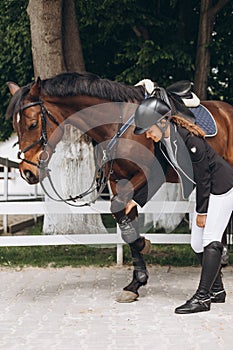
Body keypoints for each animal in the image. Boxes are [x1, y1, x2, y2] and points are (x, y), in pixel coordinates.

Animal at [5, 72, 233, 302]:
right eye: (15, 127)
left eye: (33, 124)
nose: (27, 172)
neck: (120, 126)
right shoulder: (117, 182)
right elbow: (125, 219)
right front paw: (136, 282)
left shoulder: (146, 176)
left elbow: (120, 210)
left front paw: (143, 247)